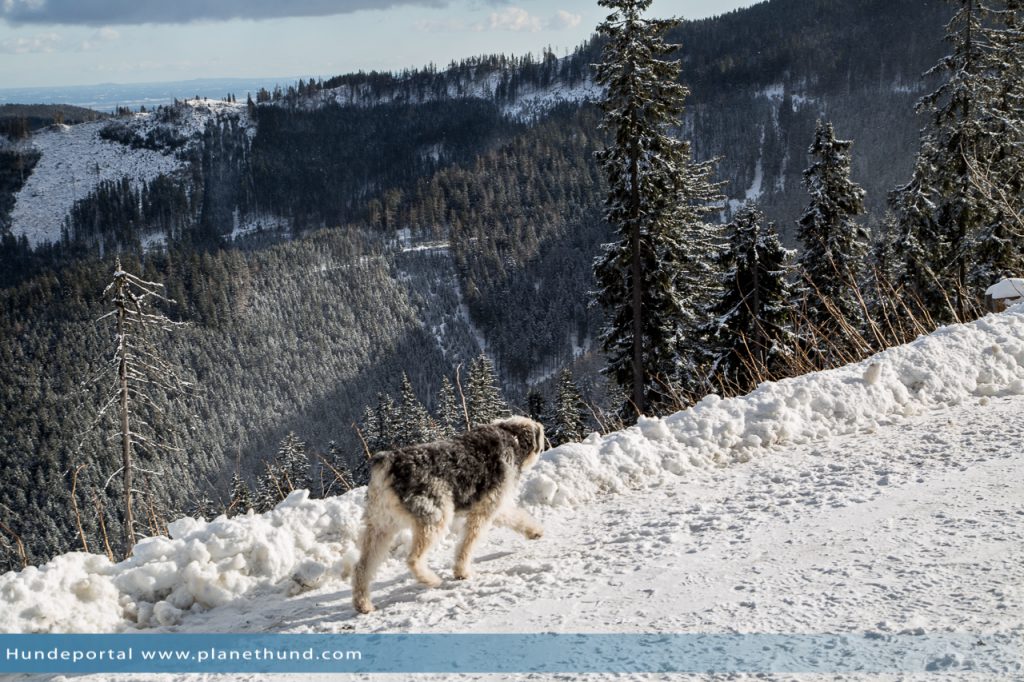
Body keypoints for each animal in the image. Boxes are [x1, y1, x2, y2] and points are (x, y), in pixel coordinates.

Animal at [350, 411, 544, 614]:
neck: (511, 437)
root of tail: (389, 464)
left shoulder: (492, 505)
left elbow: (516, 517)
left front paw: (535, 531)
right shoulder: (484, 510)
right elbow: (467, 544)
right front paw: (462, 572)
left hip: (381, 526)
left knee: (362, 567)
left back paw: (363, 605)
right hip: (435, 519)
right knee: (412, 559)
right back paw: (431, 580)